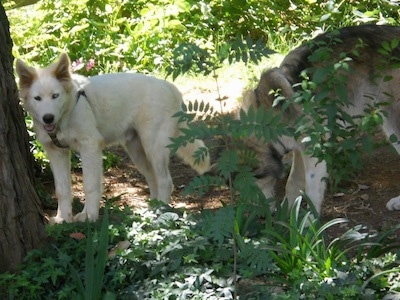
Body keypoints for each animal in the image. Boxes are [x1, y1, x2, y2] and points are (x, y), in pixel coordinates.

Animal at [16, 53, 209, 223]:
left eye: (55, 96)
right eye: (37, 98)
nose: (48, 118)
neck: (67, 112)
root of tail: (171, 88)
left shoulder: (90, 147)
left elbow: (90, 186)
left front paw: (89, 216)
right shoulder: (56, 153)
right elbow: (62, 190)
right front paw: (63, 218)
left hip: (154, 148)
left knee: (165, 181)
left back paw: (160, 210)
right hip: (137, 151)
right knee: (153, 178)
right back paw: (152, 208)